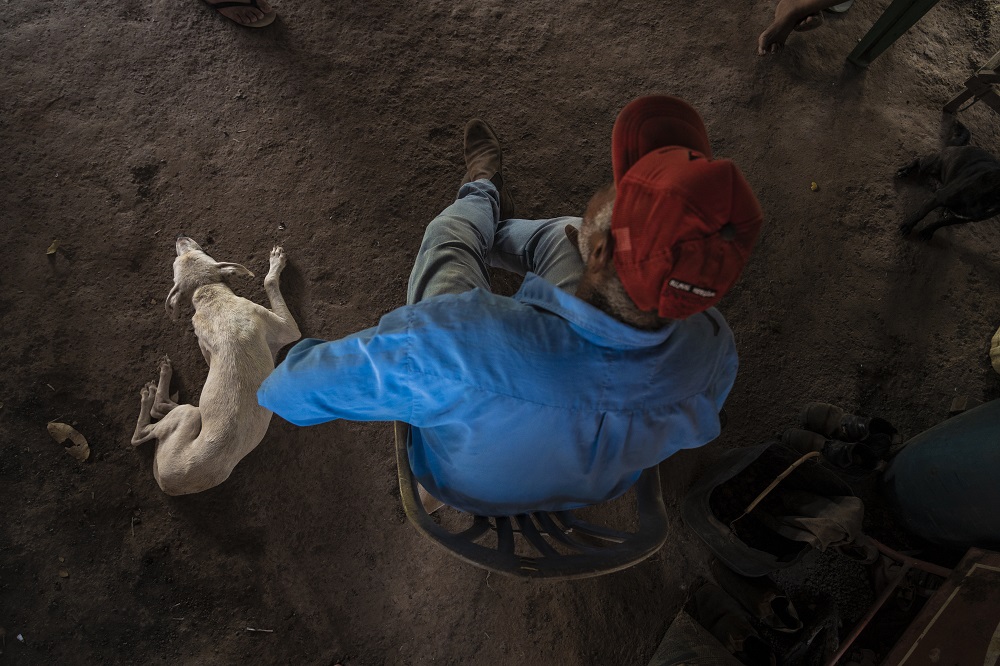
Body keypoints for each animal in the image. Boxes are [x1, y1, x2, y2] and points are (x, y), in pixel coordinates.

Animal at [131, 237, 300, 492]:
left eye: (200, 252)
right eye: (175, 262)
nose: (180, 236)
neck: (209, 294)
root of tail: (167, 483)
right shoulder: (288, 329)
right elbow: (268, 281)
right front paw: (276, 262)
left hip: (189, 416)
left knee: (158, 415)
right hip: (188, 415)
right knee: (146, 424)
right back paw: (154, 386)